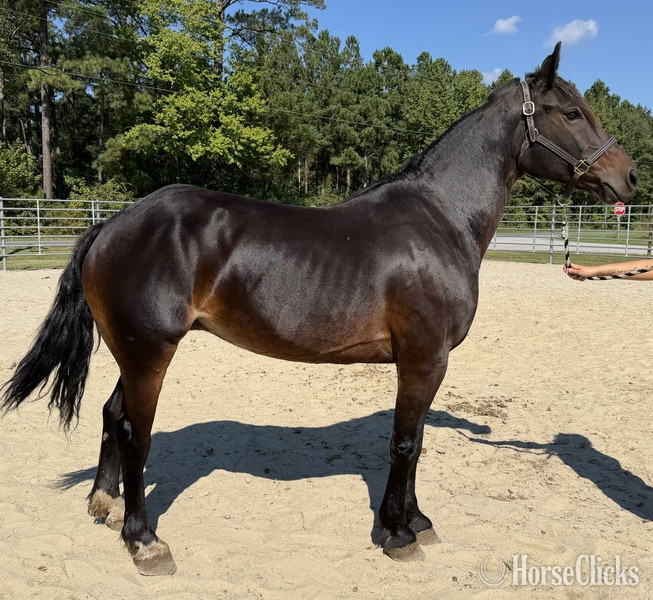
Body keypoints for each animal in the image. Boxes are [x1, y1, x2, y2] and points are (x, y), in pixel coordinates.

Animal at [1, 43, 638, 575]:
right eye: (572, 113)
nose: (628, 177)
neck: (440, 218)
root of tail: (111, 225)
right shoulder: (424, 358)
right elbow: (405, 443)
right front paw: (397, 535)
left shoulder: (426, 363)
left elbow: (416, 441)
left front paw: (418, 522)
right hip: (149, 353)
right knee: (137, 432)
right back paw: (143, 540)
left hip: (136, 353)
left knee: (113, 416)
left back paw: (103, 504)